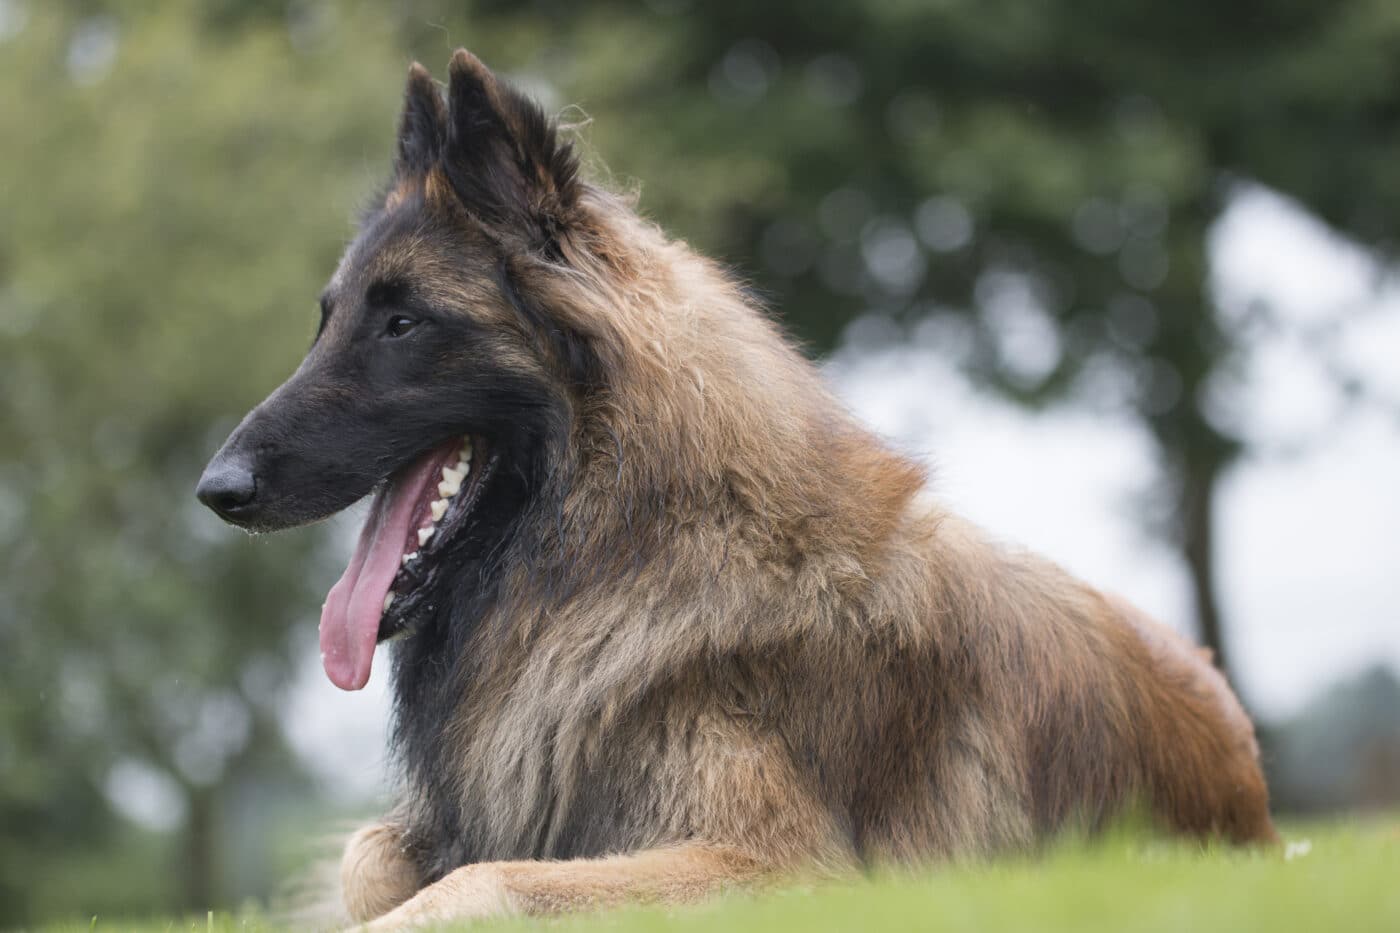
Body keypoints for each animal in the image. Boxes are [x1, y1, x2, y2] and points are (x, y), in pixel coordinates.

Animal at [197, 49, 1282, 924]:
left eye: (402, 323)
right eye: (329, 319)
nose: (216, 489)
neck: (626, 549)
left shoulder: (780, 864)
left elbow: (485, 880)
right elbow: (368, 857)